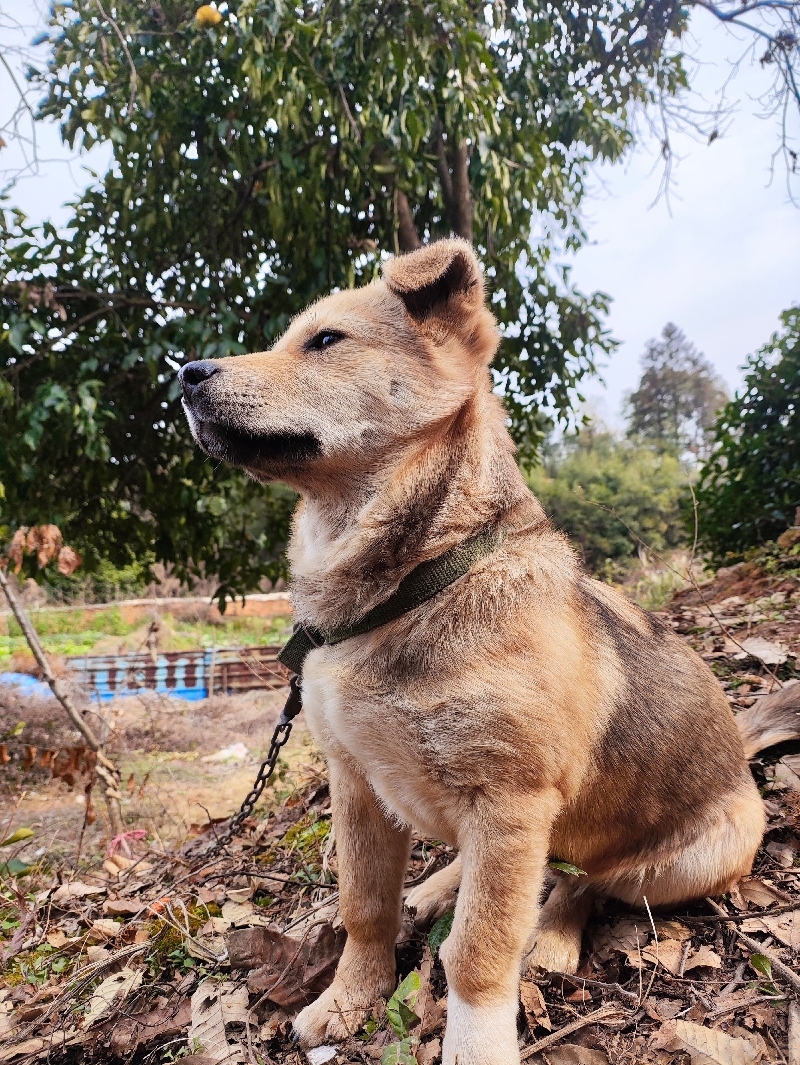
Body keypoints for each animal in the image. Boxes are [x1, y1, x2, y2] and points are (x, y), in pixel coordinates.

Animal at [181, 241, 800, 1065]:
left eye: (325, 341)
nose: (185, 374)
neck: (413, 584)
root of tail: (741, 757)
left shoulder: (511, 804)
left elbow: (478, 949)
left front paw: (475, 1041)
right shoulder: (355, 781)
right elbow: (363, 906)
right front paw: (349, 996)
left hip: (677, 862)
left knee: (585, 881)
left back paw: (554, 935)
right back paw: (435, 885)